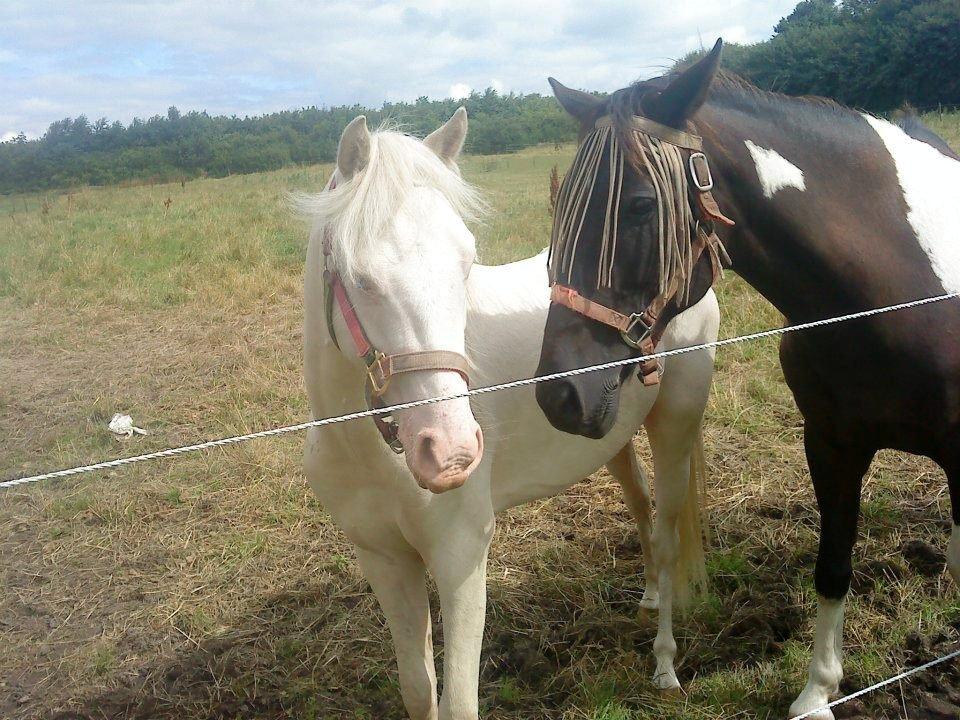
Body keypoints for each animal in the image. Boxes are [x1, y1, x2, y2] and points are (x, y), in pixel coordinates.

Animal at [299, 109, 720, 718]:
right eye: (359, 278)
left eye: (466, 262)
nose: (449, 452)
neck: (365, 450)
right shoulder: (384, 559)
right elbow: (418, 689)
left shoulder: (460, 558)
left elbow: (457, 703)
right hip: (610, 436)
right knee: (641, 507)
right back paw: (645, 596)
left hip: (676, 426)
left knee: (666, 533)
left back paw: (664, 664)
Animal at [533, 39, 960, 720]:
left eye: (640, 205)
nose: (560, 393)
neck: (898, 284)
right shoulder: (831, 444)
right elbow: (832, 566)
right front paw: (818, 691)